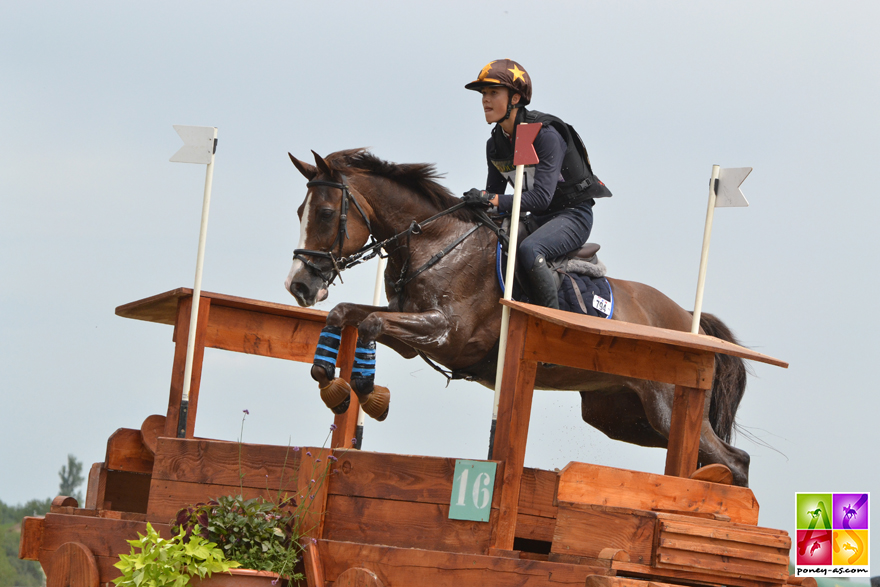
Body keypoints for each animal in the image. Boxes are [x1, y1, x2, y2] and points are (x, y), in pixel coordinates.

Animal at [282, 148, 748, 486]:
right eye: (299, 212)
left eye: (326, 213)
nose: (298, 286)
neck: (436, 242)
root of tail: (688, 321)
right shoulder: (412, 330)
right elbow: (346, 314)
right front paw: (331, 382)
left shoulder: (447, 333)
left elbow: (371, 324)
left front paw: (368, 392)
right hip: (621, 416)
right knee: (708, 456)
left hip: (665, 406)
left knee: (733, 458)